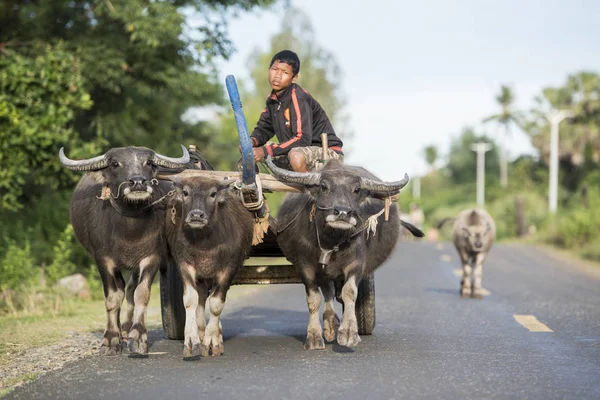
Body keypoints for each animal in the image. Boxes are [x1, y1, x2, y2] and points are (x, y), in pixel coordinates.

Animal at [59, 145, 189, 354]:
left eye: (149, 162)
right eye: (115, 163)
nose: (137, 182)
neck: (129, 232)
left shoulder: (151, 257)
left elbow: (141, 294)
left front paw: (138, 336)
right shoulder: (103, 260)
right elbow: (112, 298)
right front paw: (110, 340)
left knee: (130, 289)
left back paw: (127, 329)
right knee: (121, 289)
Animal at [164, 177, 253, 358]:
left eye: (213, 194)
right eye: (185, 192)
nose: (196, 215)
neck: (204, 243)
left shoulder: (229, 268)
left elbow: (216, 304)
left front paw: (212, 340)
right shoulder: (185, 264)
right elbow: (190, 301)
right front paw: (192, 340)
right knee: (201, 298)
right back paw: (201, 333)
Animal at [268, 158, 422, 348]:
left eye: (356, 189)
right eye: (324, 186)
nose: (342, 212)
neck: (331, 240)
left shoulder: (356, 264)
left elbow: (349, 292)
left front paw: (349, 332)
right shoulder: (305, 266)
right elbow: (314, 299)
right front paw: (314, 336)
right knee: (327, 291)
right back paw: (329, 325)